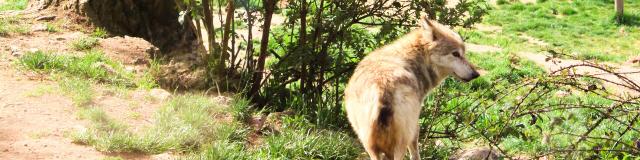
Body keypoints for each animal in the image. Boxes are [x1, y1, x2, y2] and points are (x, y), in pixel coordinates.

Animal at [342, 16, 478, 160]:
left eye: (463, 53)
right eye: (456, 54)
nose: (476, 74)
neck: (415, 59)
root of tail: (383, 90)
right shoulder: (415, 124)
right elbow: (415, 152)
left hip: (369, 145)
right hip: (401, 141)